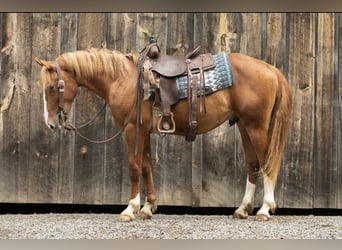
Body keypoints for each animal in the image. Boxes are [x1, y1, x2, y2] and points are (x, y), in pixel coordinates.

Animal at [34, 47, 292, 222]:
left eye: (51, 87)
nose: (50, 123)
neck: (123, 79)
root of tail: (270, 69)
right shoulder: (145, 132)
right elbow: (147, 167)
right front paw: (148, 208)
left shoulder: (132, 130)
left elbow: (134, 168)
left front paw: (130, 209)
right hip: (244, 126)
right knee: (252, 165)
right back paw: (242, 208)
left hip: (256, 126)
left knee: (266, 164)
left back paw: (265, 209)